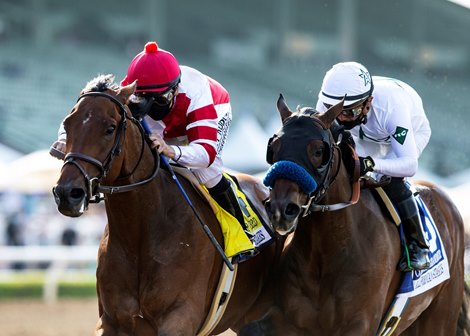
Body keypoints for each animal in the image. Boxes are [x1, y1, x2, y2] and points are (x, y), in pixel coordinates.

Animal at [53, 74, 284, 336]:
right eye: (67, 124)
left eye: (109, 128)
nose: (67, 193)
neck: (141, 232)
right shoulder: (111, 320)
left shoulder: (179, 318)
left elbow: (206, 149)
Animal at [241, 95, 468, 336]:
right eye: (274, 147)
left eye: (318, 151)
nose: (281, 209)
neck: (329, 253)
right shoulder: (287, 319)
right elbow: (252, 328)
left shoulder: (360, 325)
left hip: (439, 319)